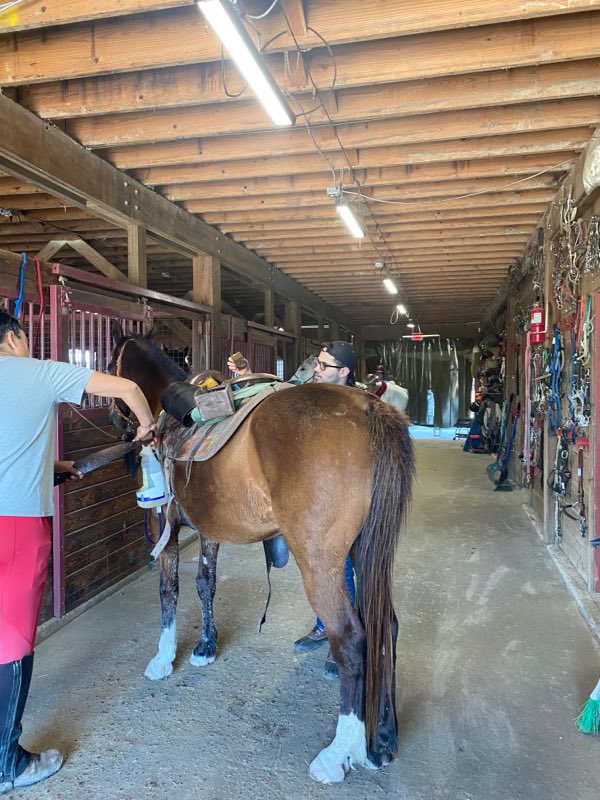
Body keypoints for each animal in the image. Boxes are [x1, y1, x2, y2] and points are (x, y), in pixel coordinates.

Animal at [107, 326, 414, 784]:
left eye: (111, 365)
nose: (117, 423)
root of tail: (368, 407)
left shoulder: (170, 523)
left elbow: (169, 588)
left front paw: (163, 658)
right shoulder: (209, 529)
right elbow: (206, 584)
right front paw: (205, 647)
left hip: (320, 563)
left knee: (352, 639)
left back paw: (339, 753)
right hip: (366, 550)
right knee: (386, 628)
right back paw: (383, 741)